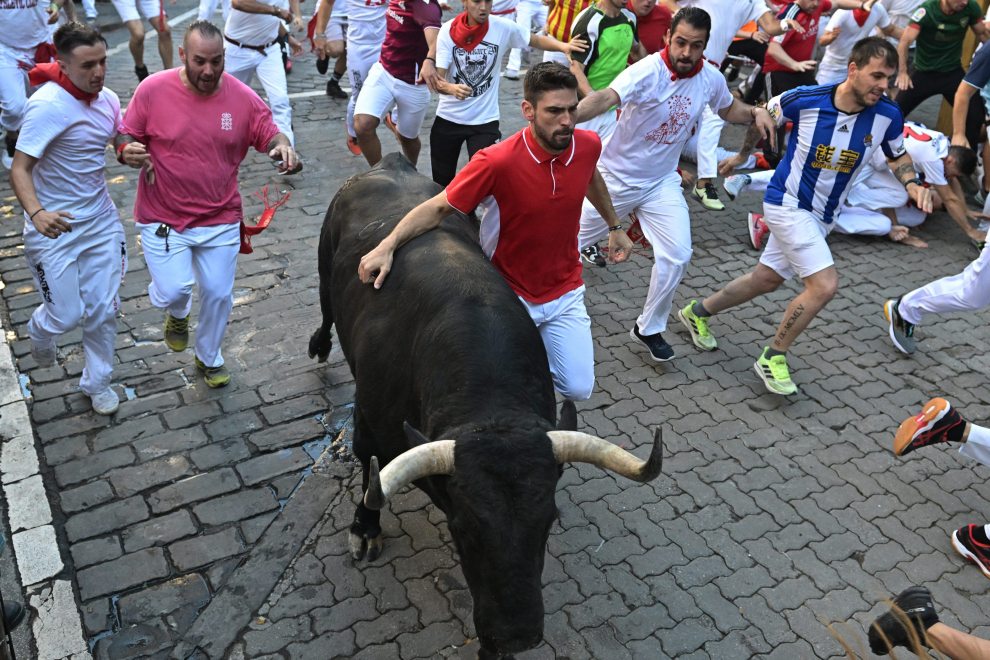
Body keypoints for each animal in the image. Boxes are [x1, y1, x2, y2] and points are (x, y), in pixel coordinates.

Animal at [308, 153, 668, 656]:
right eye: (462, 528)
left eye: (549, 522)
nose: (515, 635)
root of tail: (391, 162)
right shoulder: (370, 416)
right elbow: (369, 465)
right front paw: (365, 528)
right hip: (325, 269)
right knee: (324, 309)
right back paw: (319, 345)